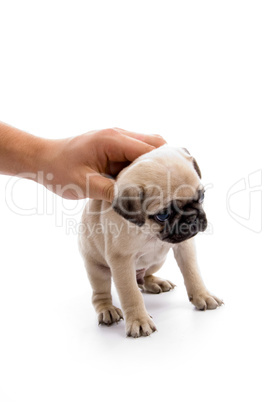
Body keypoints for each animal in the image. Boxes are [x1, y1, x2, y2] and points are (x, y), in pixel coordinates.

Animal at [78, 146, 224, 338]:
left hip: (157, 262)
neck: (149, 233)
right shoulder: (121, 261)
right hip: (97, 270)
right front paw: (138, 320)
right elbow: (131, 293)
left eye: (201, 197)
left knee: (144, 278)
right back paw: (107, 309)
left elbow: (193, 273)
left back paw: (155, 282)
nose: (192, 218)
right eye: (163, 215)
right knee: (101, 294)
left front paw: (203, 295)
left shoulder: (185, 247)